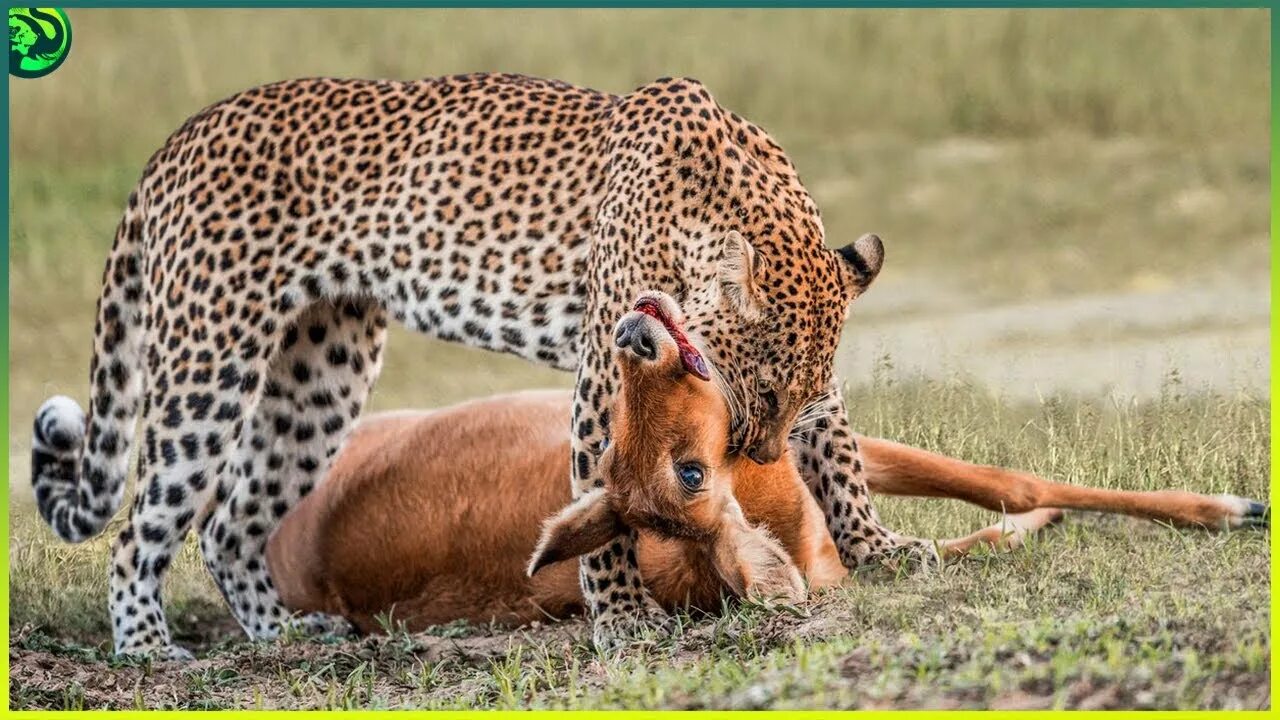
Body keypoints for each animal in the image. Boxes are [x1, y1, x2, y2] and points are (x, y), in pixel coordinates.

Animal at [27, 71, 931, 655]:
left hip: (319, 379)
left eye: (796, 399)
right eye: (763, 391)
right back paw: (147, 647)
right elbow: (599, 505)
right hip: (208, 364)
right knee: (142, 527)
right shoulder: (602, 378)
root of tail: (177, 140)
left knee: (227, 521)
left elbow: (841, 460)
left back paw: (284, 634)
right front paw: (623, 616)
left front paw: (879, 547)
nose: (756, 456)